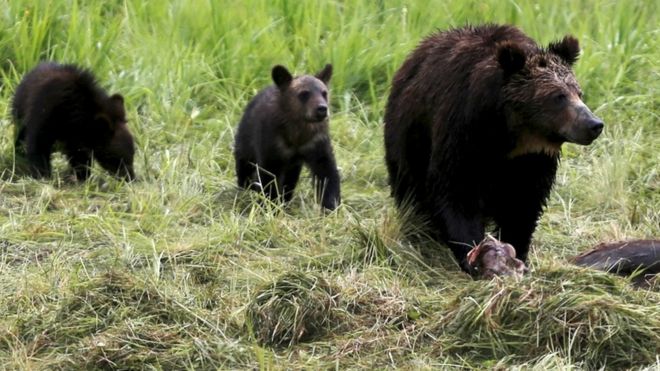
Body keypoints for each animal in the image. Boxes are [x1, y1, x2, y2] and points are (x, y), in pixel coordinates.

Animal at [233, 64, 340, 212]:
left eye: (324, 93)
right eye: (304, 94)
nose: (322, 109)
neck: (297, 134)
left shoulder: (316, 143)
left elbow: (326, 171)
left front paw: (331, 206)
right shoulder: (272, 143)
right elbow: (269, 176)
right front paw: (269, 205)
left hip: (293, 164)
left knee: (290, 178)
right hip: (246, 138)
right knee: (244, 163)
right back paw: (245, 188)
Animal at [384, 24, 604, 274]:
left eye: (579, 92)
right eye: (558, 96)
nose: (594, 124)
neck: (508, 135)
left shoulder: (533, 160)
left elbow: (523, 203)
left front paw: (516, 251)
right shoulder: (461, 134)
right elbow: (457, 192)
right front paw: (475, 254)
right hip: (408, 138)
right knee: (410, 190)